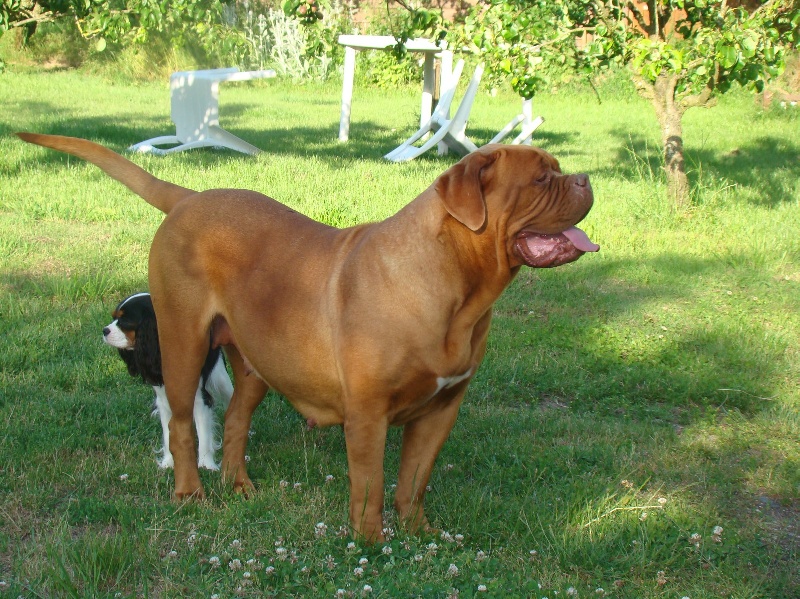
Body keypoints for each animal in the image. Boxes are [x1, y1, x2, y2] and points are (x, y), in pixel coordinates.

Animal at [103, 292, 233, 470]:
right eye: (114, 317)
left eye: (125, 321)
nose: (104, 330)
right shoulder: (164, 400)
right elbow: (167, 433)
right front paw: (169, 463)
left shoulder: (200, 399)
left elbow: (204, 435)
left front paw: (206, 466)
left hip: (220, 378)